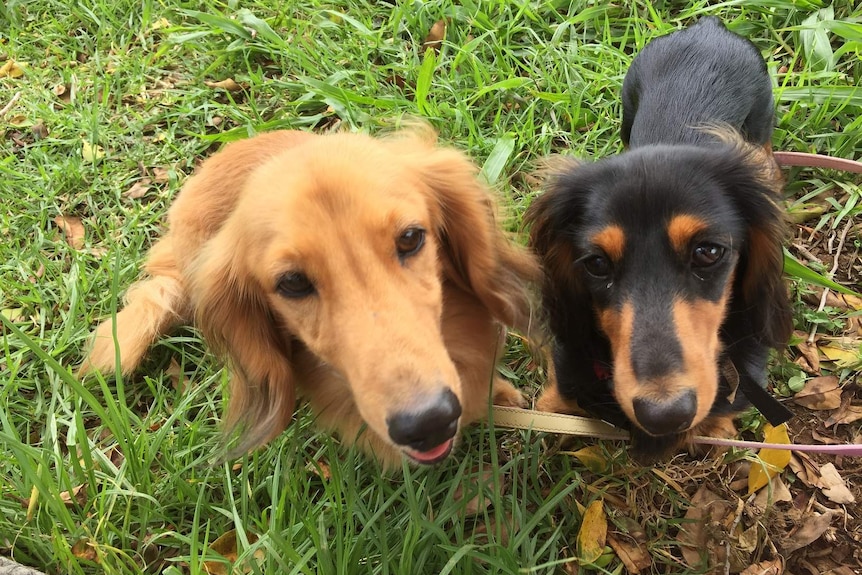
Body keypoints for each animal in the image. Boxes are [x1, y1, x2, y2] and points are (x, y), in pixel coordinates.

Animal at [528, 15, 792, 462]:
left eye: (709, 252)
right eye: (596, 263)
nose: (665, 414)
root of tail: (708, 27)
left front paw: (715, 427)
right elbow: (561, 396)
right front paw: (554, 413)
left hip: (762, 114)